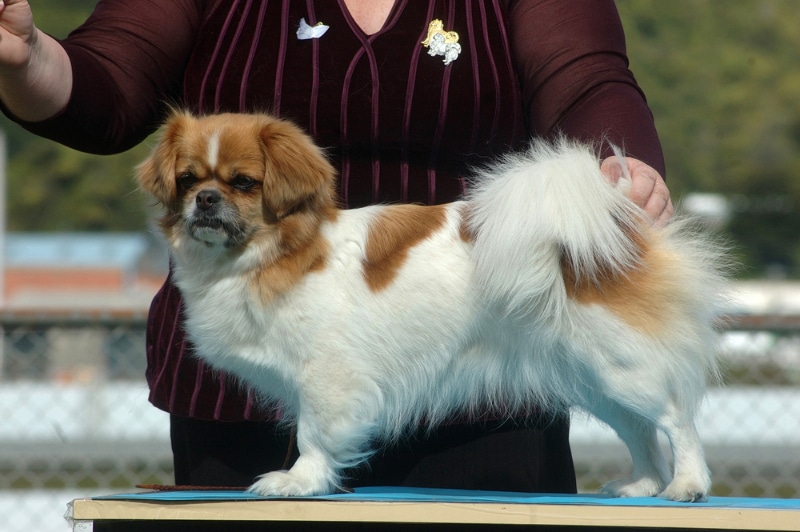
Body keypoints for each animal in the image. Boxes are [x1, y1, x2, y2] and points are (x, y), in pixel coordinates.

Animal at [139, 110, 732, 500]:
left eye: (243, 183)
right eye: (187, 180)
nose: (205, 200)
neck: (274, 254)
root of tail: (616, 220)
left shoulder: (328, 378)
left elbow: (313, 433)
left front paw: (299, 482)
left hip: (623, 367)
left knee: (676, 420)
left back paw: (686, 485)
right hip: (597, 378)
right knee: (640, 431)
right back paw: (642, 485)